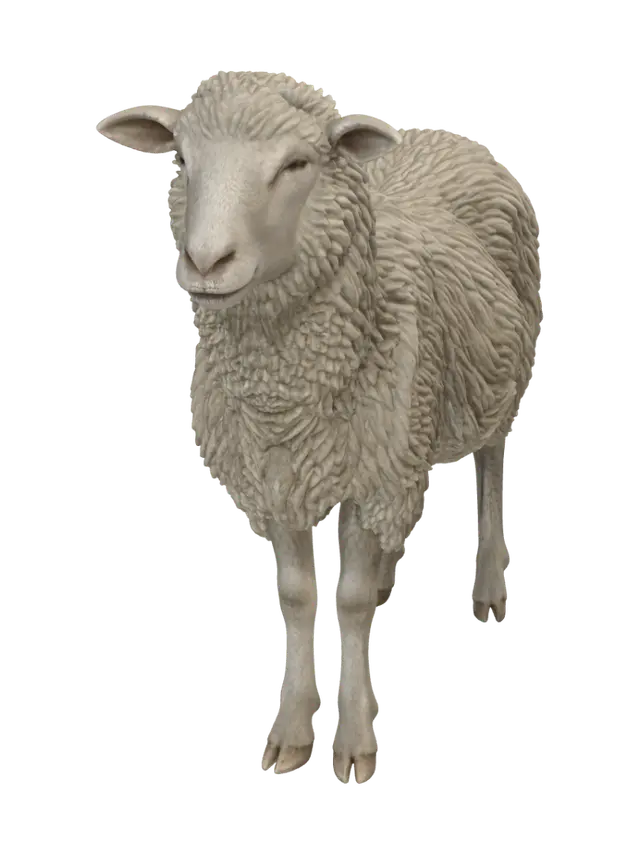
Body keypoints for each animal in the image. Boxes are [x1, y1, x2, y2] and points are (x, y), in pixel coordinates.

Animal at [96, 69, 542, 785]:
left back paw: (490, 591)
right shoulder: (281, 473)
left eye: (297, 165)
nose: (206, 261)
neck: (287, 394)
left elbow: (351, 603)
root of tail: (445, 134)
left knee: (489, 467)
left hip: (495, 379)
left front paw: (356, 745)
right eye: (181, 159)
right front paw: (290, 736)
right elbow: (301, 595)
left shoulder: (371, 473)